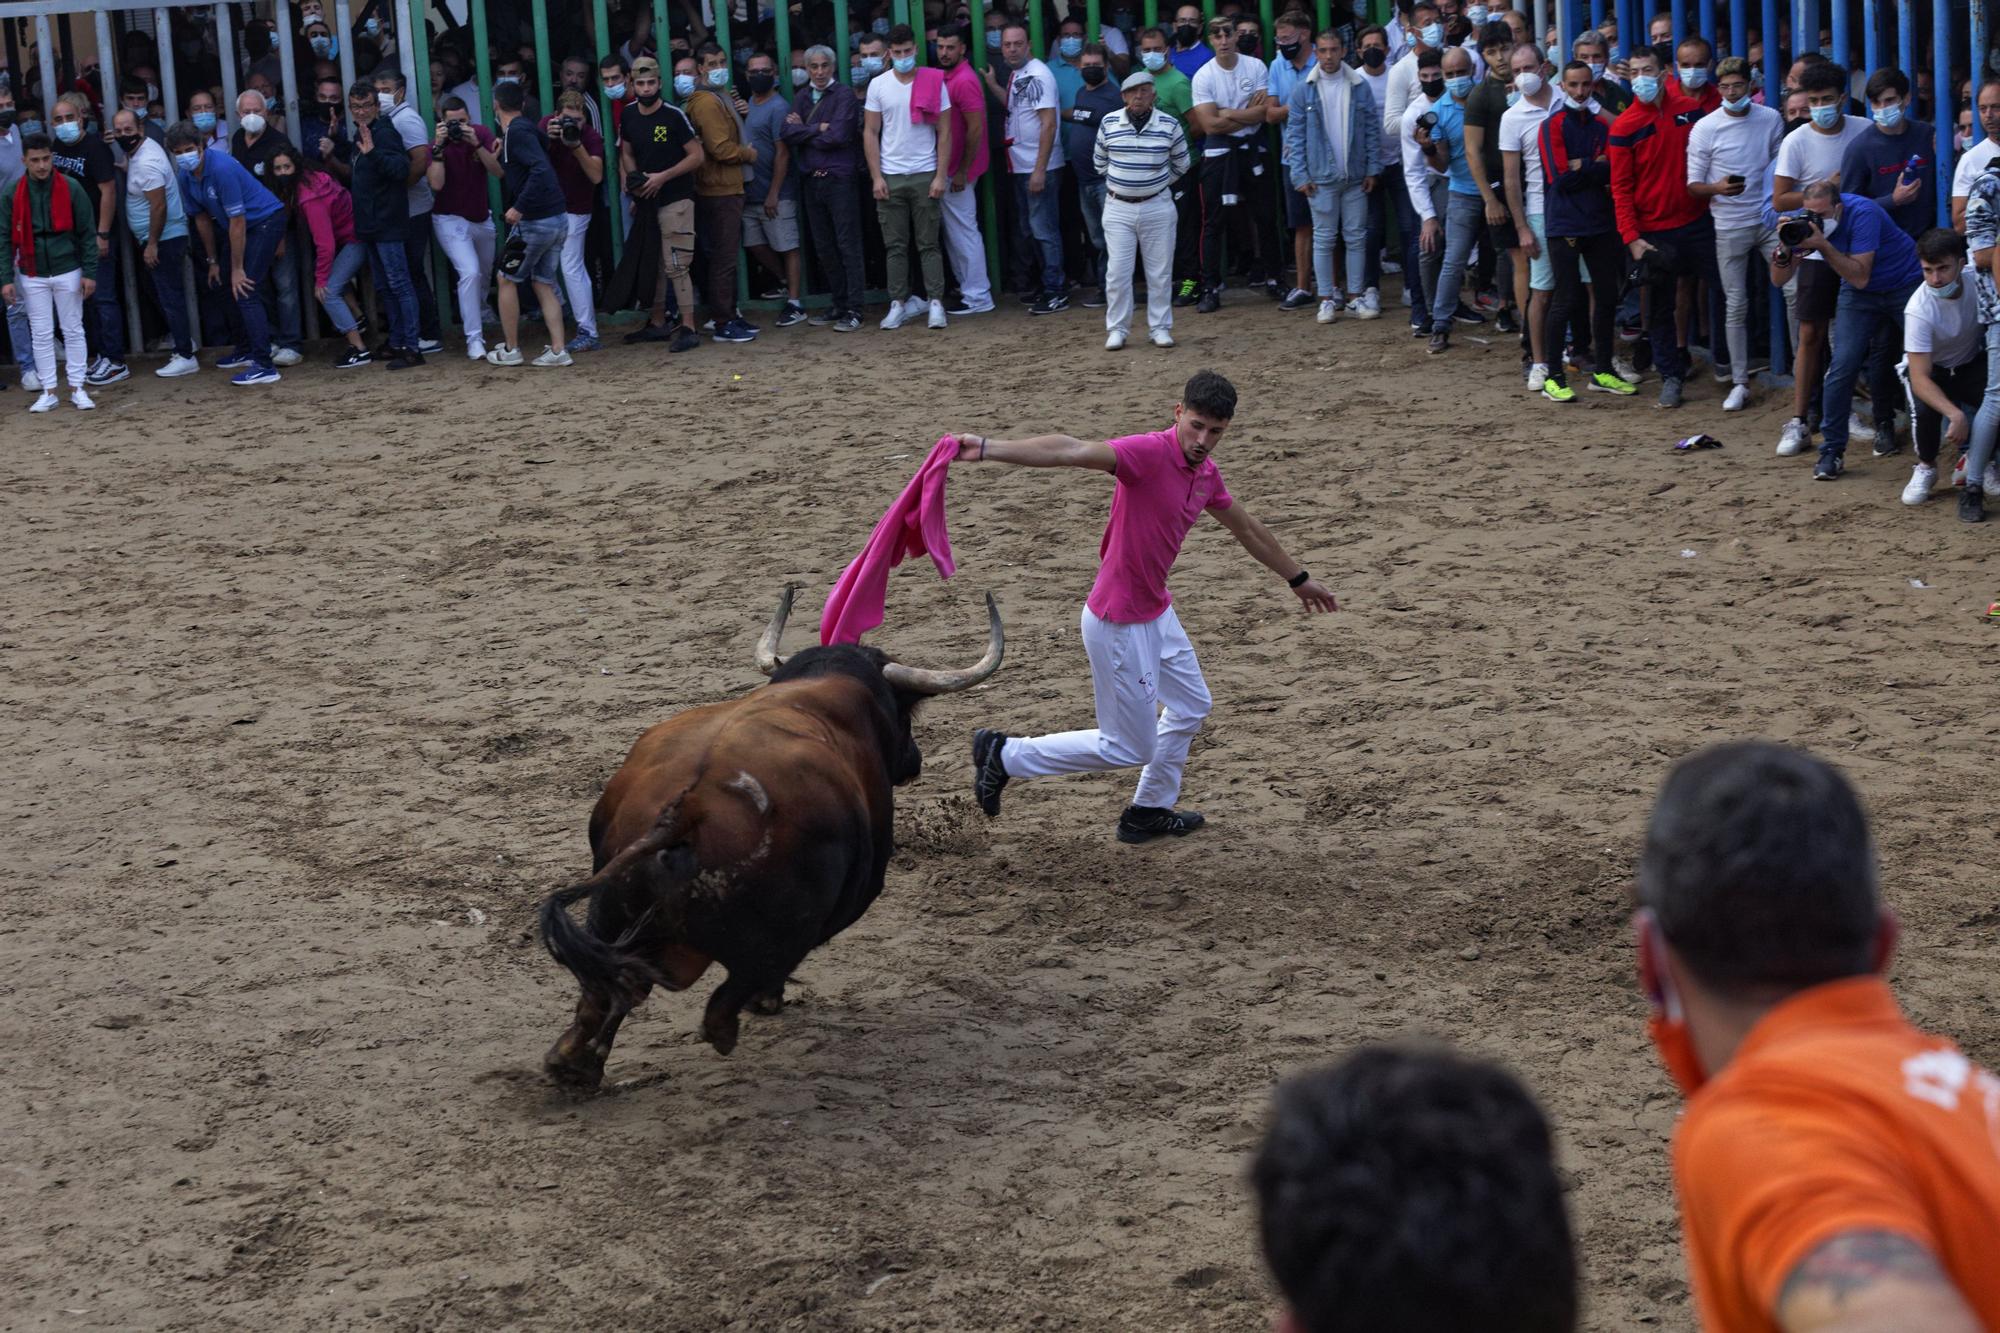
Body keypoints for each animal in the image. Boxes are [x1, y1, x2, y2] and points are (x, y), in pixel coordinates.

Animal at [536, 588, 1000, 1088]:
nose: (914, 760)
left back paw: (573, 1064)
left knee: (608, 990)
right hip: (786, 925)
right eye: (905, 715)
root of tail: (687, 811)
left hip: (609, 912)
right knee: (727, 993)